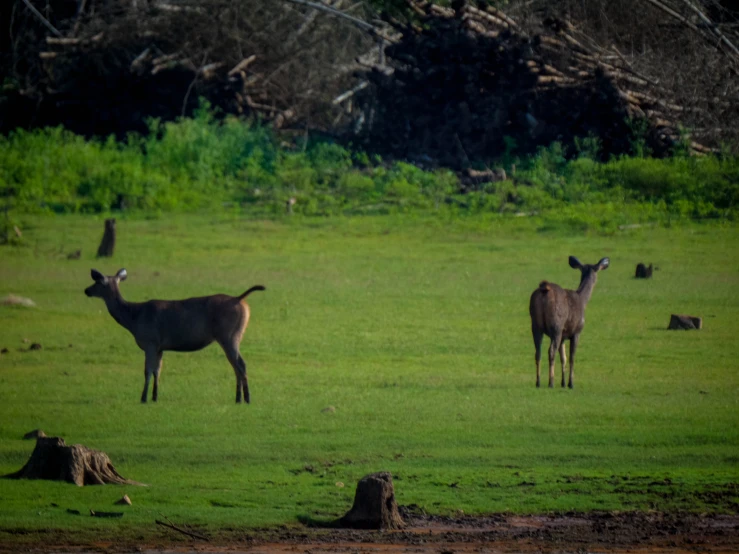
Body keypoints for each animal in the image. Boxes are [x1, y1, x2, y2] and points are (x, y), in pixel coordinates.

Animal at [85, 268, 264, 402]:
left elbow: (147, 370)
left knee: (240, 364)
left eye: (97, 282)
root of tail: (239, 299)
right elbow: (157, 370)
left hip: (228, 335)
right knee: (237, 365)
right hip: (234, 335)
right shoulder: (159, 347)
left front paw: (143, 398)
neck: (134, 319)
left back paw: (247, 398)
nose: (86, 290)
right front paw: (155, 397)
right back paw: (238, 398)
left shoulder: (150, 341)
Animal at [528, 256, 608, 388]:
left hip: (535, 325)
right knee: (551, 351)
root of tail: (544, 289)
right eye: (597, 271)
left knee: (537, 352)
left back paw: (538, 382)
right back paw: (551, 382)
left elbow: (563, 357)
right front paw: (570, 383)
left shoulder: (564, 336)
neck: (583, 301)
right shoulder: (576, 331)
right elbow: (571, 357)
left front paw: (563, 383)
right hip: (556, 324)